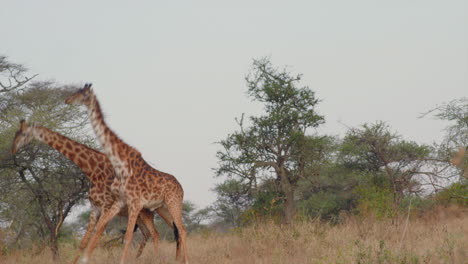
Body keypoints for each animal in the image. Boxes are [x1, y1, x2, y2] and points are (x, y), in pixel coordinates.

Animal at [10, 120, 168, 262]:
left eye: (23, 133)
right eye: (16, 132)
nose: (12, 149)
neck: (93, 170)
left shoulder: (106, 206)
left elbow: (96, 237)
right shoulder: (95, 208)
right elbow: (83, 243)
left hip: (147, 212)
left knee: (156, 233)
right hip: (141, 214)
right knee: (150, 234)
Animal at [64, 84, 188, 264]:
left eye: (83, 94)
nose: (67, 100)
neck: (120, 162)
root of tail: (181, 187)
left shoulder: (134, 203)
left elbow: (128, 237)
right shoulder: (121, 202)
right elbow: (110, 233)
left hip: (173, 203)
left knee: (181, 230)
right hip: (163, 207)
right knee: (177, 230)